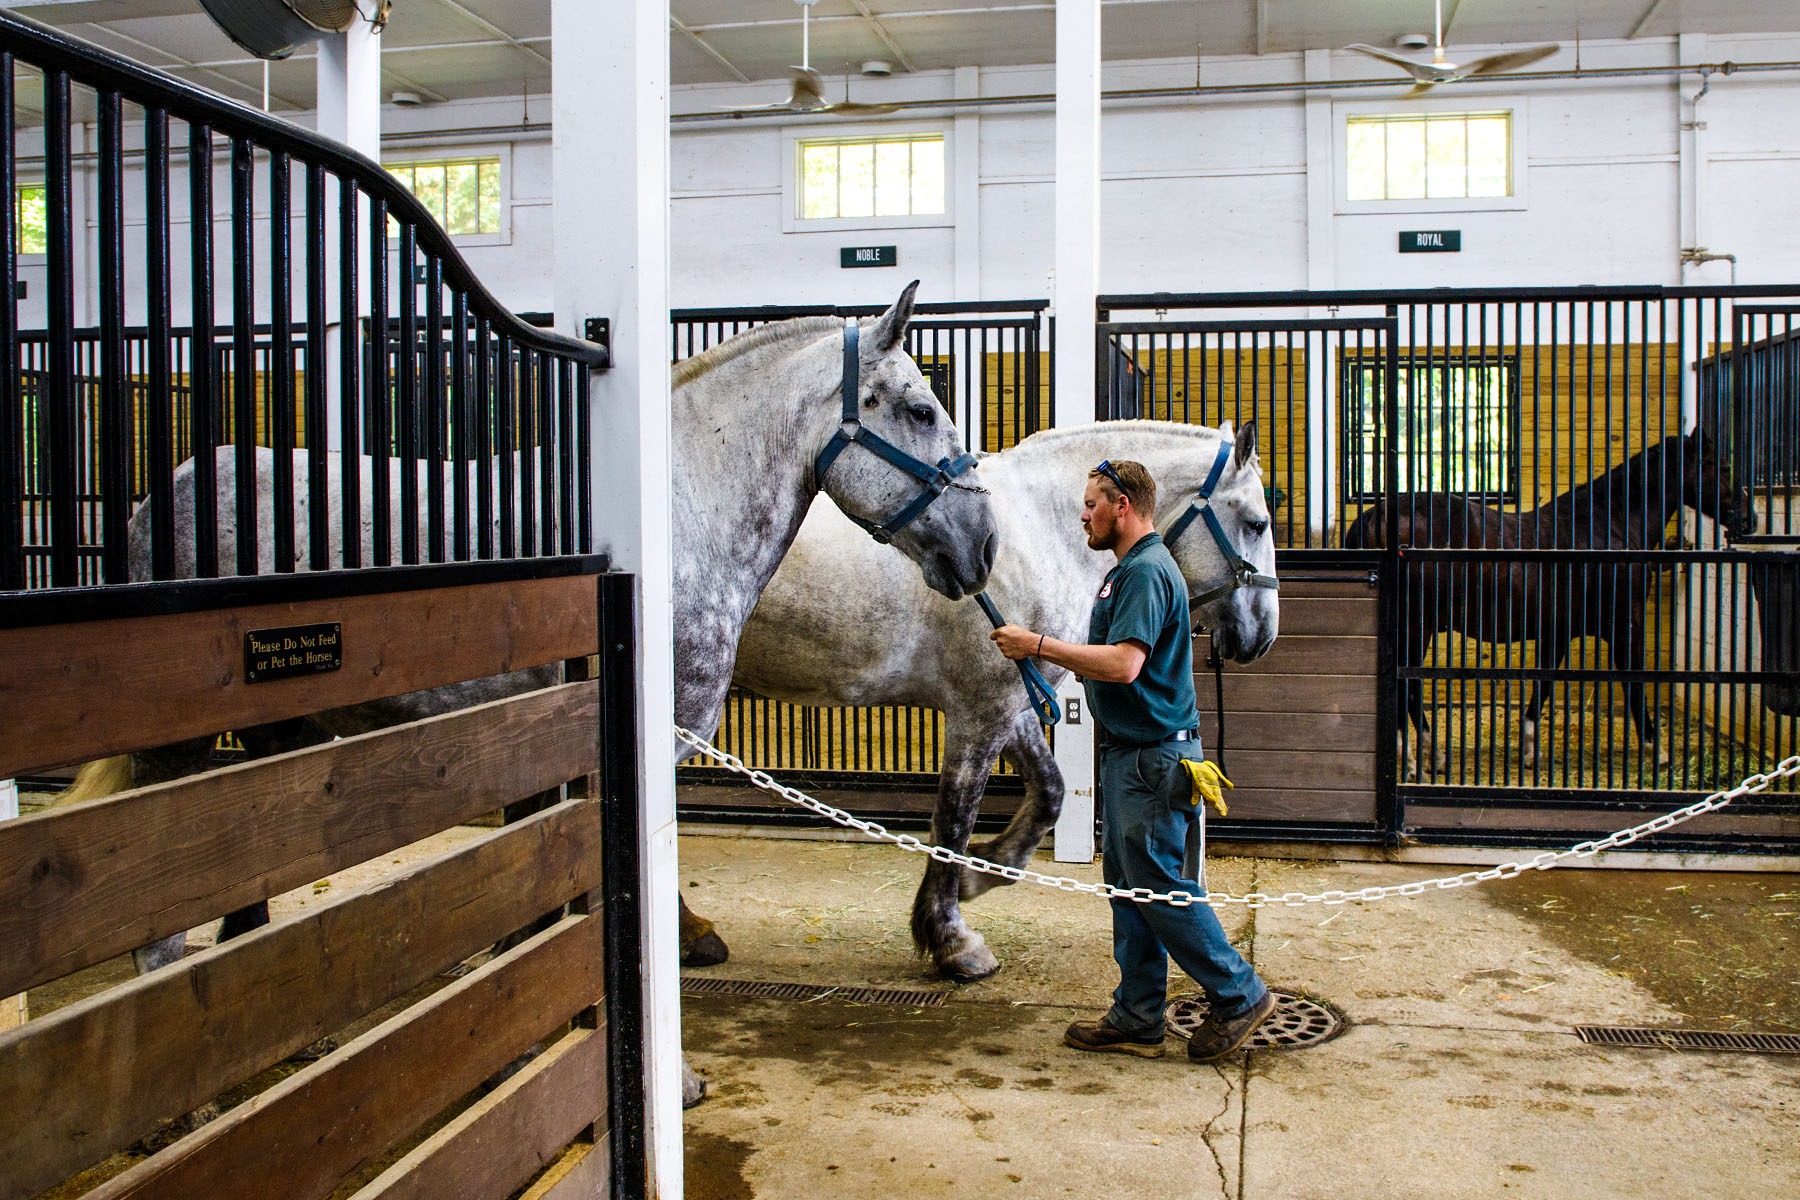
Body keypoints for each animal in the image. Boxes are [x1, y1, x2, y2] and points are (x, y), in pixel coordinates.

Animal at [730, 417, 1281, 978]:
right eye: (1258, 523)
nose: (1262, 636)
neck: (1041, 532)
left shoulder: (1014, 703)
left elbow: (1051, 792)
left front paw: (985, 871)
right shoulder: (981, 712)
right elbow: (954, 819)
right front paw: (952, 940)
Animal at [1353, 431, 1756, 780]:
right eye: (1718, 466)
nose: (1748, 518)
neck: (1609, 527)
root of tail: (1378, 513)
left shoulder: (1558, 631)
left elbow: (1543, 685)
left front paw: (1530, 752)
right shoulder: (1625, 626)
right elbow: (1636, 685)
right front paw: (1658, 753)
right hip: (1415, 626)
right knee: (1408, 687)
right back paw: (1419, 761)